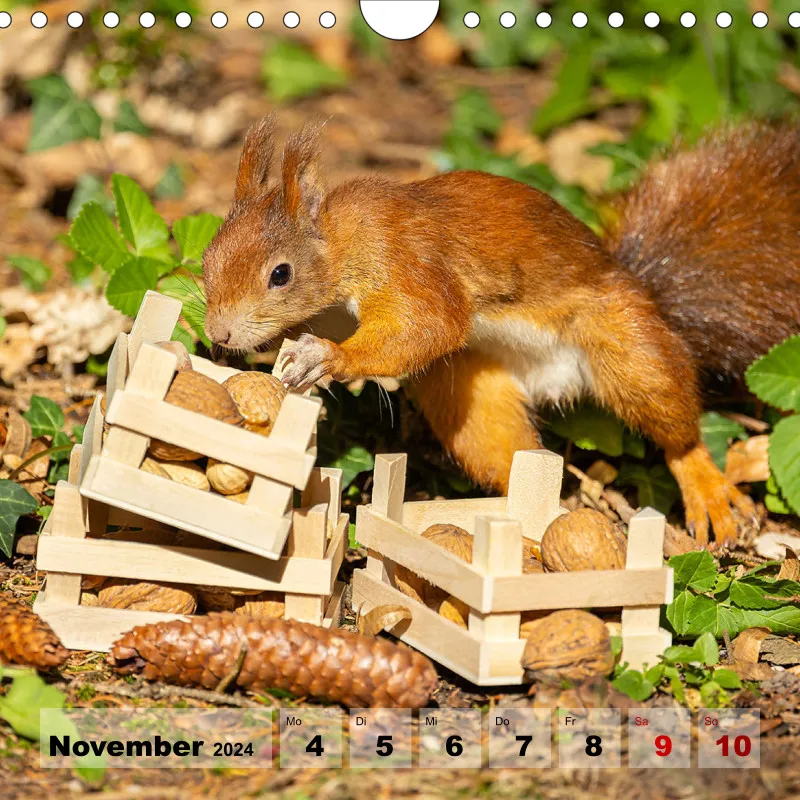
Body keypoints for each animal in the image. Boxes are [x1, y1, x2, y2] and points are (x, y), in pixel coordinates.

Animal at [202, 115, 800, 545]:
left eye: (281, 274)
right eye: (207, 257)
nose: (220, 335)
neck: (341, 245)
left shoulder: (406, 261)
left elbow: (432, 322)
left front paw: (326, 357)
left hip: (627, 344)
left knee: (672, 419)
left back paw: (705, 486)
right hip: (471, 389)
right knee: (511, 456)